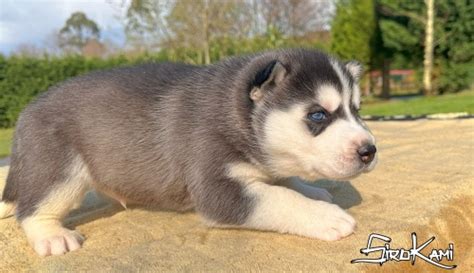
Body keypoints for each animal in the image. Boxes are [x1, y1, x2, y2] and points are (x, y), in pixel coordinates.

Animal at [0, 49, 378, 255]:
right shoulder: (217, 189)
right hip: (59, 169)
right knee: (32, 209)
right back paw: (52, 236)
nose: (369, 151)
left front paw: (311, 189)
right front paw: (324, 216)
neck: (233, 114)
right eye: (318, 115)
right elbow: (279, 198)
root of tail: (25, 112)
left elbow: (283, 182)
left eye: (356, 111)